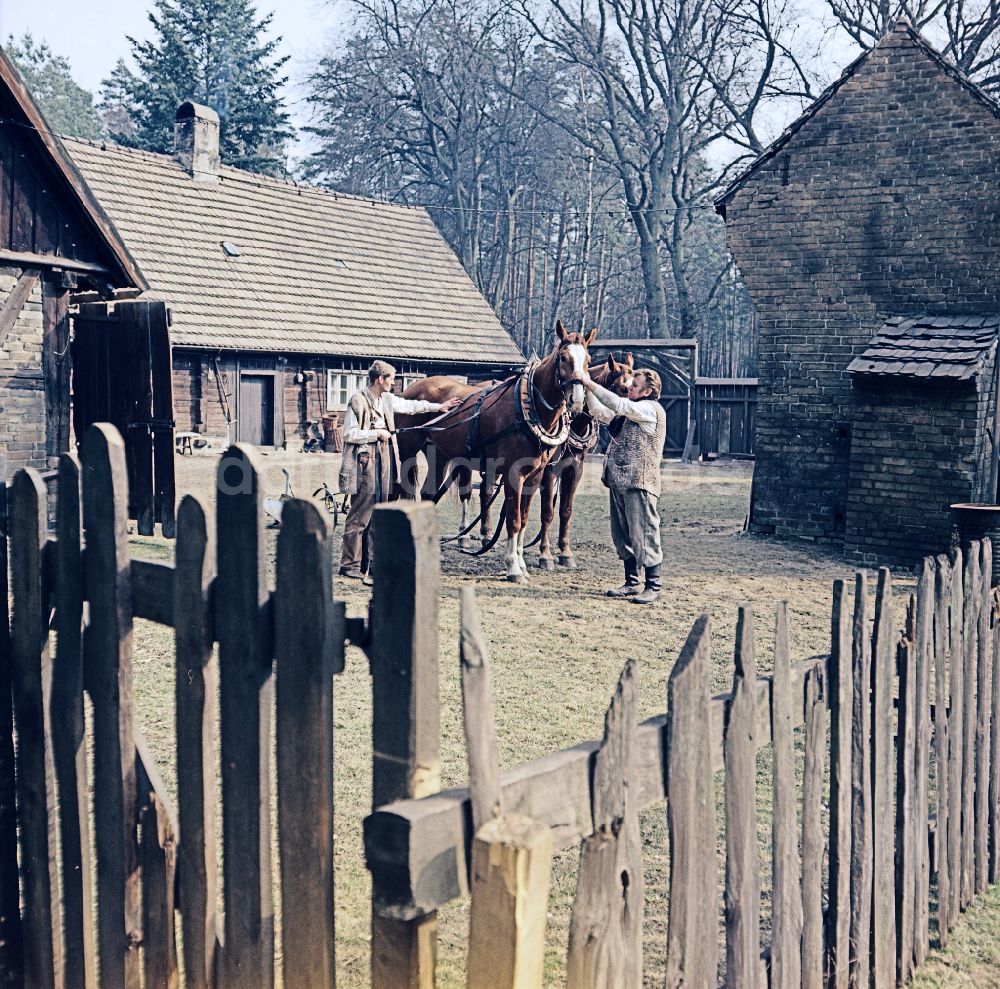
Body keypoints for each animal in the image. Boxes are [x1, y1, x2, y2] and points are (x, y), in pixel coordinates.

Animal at [392, 322, 596, 580]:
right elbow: (513, 519)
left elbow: (524, 518)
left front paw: (521, 563)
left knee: (428, 495)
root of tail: (412, 390)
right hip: (408, 450)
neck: (528, 408)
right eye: (563, 357)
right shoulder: (513, 474)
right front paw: (512, 567)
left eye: (587, 360)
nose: (576, 401)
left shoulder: (536, 475)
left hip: (439, 455)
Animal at [540, 354, 632, 572]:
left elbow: (565, 511)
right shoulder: (549, 471)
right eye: (623, 388)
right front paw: (545, 555)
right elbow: (547, 512)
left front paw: (565, 553)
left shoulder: (574, 469)